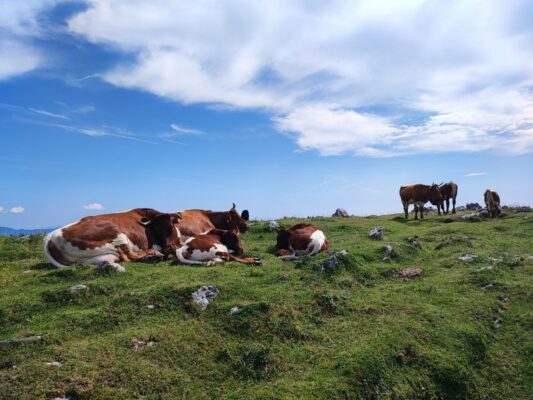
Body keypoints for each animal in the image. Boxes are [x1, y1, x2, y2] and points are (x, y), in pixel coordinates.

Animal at [42, 209, 183, 272]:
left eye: (170, 227)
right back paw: (153, 255)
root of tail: (50, 236)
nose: (168, 249)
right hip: (118, 236)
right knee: (129, 256)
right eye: (157, 231)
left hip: (92, 257)